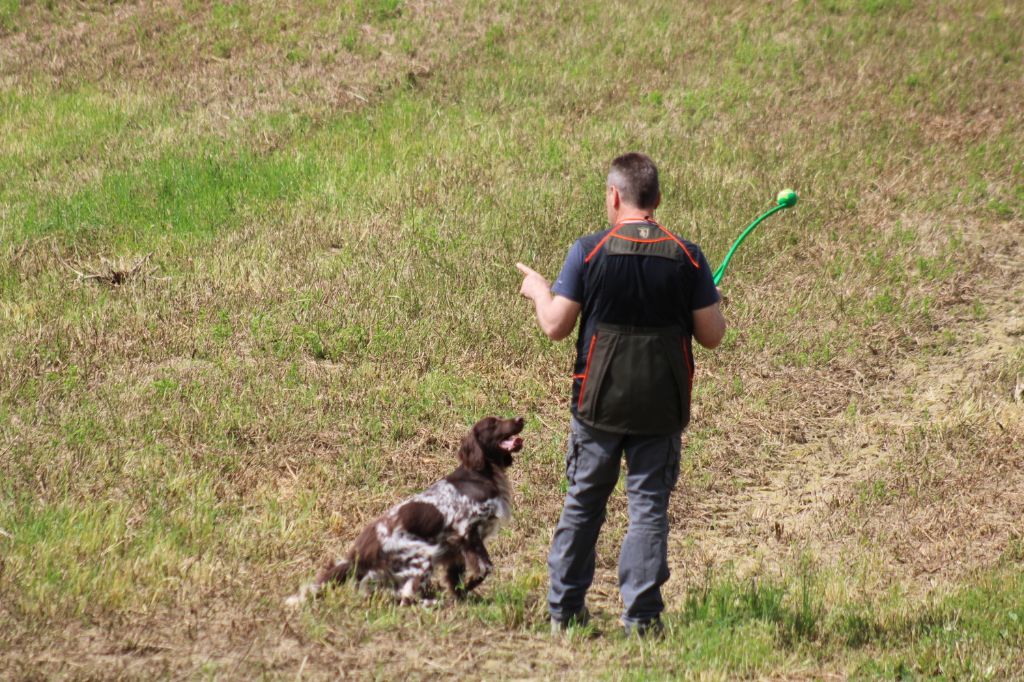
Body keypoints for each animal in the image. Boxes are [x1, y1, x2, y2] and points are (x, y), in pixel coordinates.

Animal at [288, 413, 528, 606]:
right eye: (493, 423)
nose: (520, 419)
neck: (482, 474)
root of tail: (358, 554)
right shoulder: (466, 531)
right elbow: (485, 568)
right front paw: (468, 588)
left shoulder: (455, 549)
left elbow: (456, 580)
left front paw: (462, 597)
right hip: (422, 555)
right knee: (407, 595)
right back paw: (432, 603)